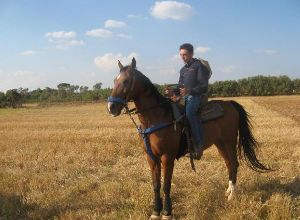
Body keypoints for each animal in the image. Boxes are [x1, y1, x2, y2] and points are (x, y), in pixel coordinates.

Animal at [106, 58, 270, 220]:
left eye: (126, 81)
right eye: (114, 80)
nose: (111, 107)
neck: (157, 118)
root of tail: (230, 103)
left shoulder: (167, 157)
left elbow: (166, 185)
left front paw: (167, 212)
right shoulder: (151, 157)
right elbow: (156, 185)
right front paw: (156, 211)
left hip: (229, 141)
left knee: (234, 163)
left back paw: (232, 196)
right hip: (220, 144)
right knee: (229, 164)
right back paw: (228, 191)